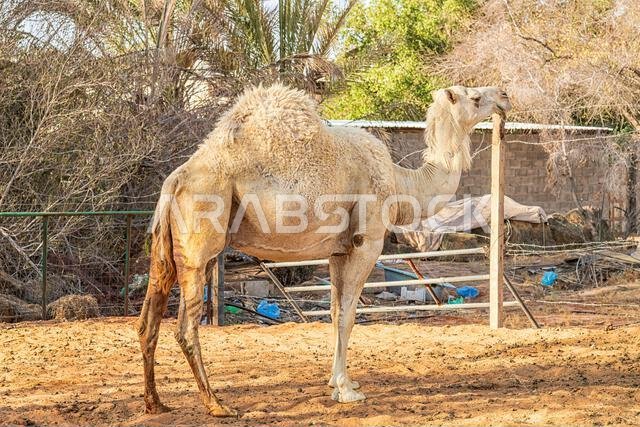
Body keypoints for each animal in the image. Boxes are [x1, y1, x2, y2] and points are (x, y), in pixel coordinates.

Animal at [135, 84, 511, 416]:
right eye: (475, 98)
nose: (504, 96)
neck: (399, 182)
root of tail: (174, 182)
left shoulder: (337, 251)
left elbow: (332, 313)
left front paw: (337, 382)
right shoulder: (366, 243)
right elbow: (348, 316)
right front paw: (347, 390)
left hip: (166, 250)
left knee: (147, 320)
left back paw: (156, 404)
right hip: (201, 244)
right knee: (185, 327)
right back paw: (216, 405)